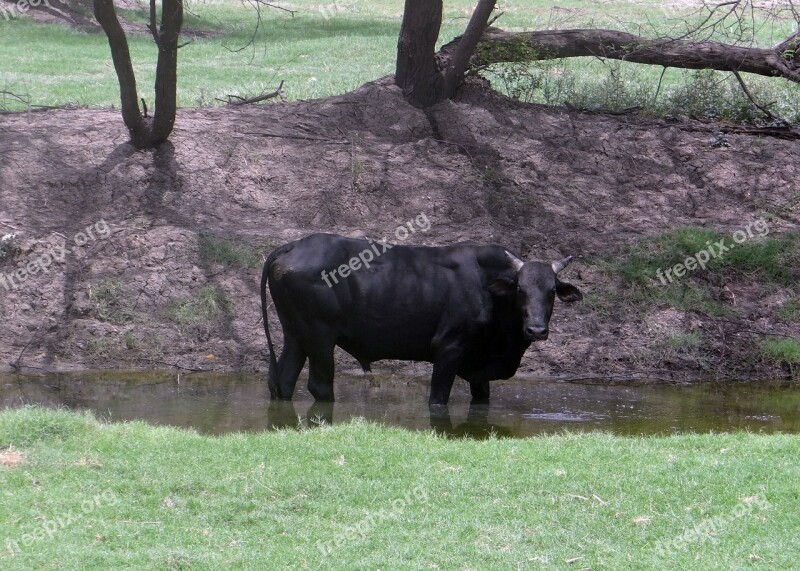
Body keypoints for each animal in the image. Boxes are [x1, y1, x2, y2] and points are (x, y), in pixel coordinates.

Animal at [262, 233, 580, 406]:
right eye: (520, 289)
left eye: (552, 291)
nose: (536, 329)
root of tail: (293, 246)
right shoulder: (449, 348)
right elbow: (438, 398)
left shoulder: (478, 368)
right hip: (320, 338)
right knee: (319, 385)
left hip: (295, 335)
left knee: (283, 380)